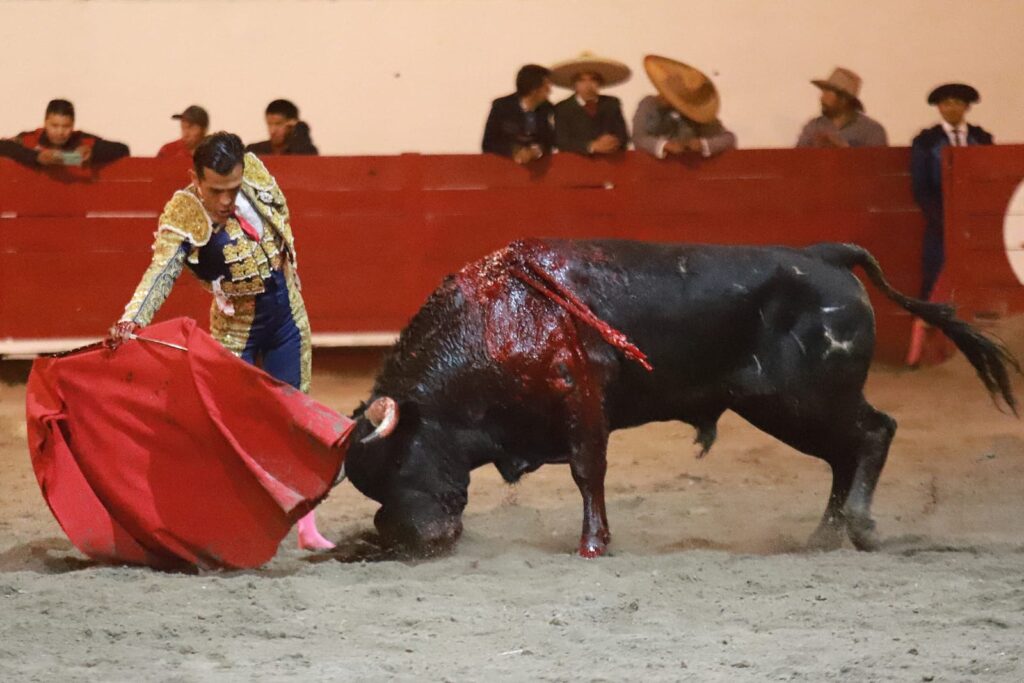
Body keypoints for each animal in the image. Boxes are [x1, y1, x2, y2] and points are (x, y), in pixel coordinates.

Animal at [342, 239, 1015, 557]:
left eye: (398, 462)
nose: (404, 540)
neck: (494, 321)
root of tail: (824, 254)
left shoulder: (584, 402)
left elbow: (588, 473)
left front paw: (593, 546)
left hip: (810, 399)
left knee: (874, 433)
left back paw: (862, 527)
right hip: (786, 408)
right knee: (843, 454)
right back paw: (823, 537)